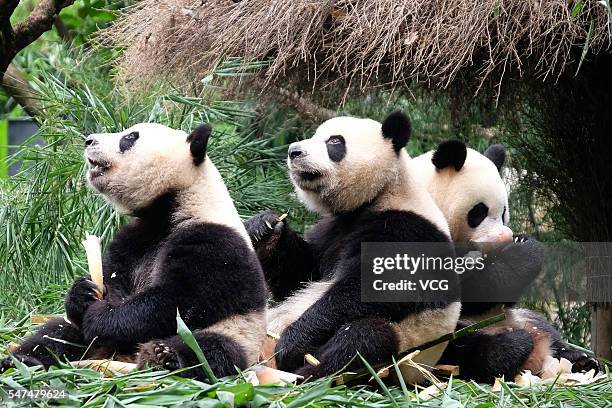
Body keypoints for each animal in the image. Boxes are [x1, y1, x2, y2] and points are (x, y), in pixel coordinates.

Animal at [0, 122, 268, 380]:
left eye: (129, 138)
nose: (89, 140)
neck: (171, 206)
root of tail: (119, 358)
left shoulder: (215, 241)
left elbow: (179, 299)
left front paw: (99, 317)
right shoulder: (136, 239)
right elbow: (115, 276)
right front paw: (82, 292)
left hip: (237, 333)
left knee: (210, 350)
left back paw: (162, 357)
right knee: (55, 334)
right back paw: (20, 362)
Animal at [244, 110, 460, 380]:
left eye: (335, 142)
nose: (294, 151)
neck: (382, 194)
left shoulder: (406, 229)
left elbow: (370, 289)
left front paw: (293, 342)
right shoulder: (331, 231)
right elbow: (301, 277)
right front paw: (265, 228)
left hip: (408, 344)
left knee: (363, 339)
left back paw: (305, 373)